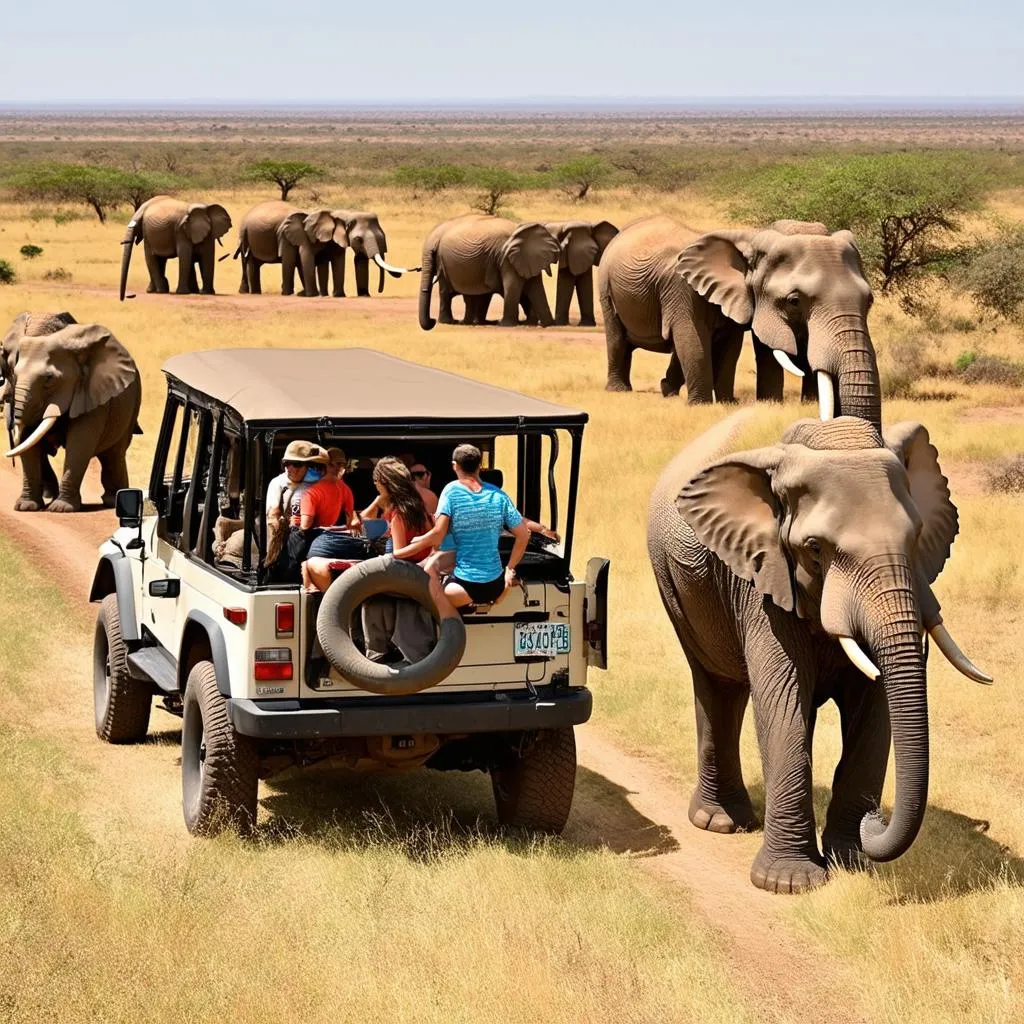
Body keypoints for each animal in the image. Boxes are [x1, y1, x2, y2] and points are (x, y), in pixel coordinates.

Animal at [2, 311, 142, 512]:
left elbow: (80, 441)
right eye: (13, 373)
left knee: (114, 454)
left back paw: (112, 501)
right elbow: (28, 441)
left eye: (49, 379)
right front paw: (25, 507)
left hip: (132, 406)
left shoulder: (91, 392)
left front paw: (61, 508)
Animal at [235, 199, 415, 296]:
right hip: (246, 236)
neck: (339, 214)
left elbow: (338, 260)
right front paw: (312, 295)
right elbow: (302, 258)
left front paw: (338, 296)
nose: (378, 291)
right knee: (252, 263)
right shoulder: (294, 234)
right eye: (358, 239)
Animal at [417, 215, 561, 327]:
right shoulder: (506, 258)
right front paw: (506, 324)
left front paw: (542, 323)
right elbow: (512, 286)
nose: (431, 320)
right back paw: (452, 322)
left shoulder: (525, 258)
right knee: (446, 291)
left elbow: (534, 287)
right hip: (447, 262)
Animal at [598, 214, 880, 425]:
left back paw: (667, 390)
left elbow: (730, 347)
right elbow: (692, 340)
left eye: (869, 300)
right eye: (794, 301)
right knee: (617, 338)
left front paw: (731, 403)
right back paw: (620, 390)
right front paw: (702, 407)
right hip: (606, 285)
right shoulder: (681, 289)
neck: (751, 240)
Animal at [647, 411, 991, 892]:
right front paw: (789, 883)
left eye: (918, 535)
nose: (874, 819)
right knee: (717, 685)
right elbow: (783, 700)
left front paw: (852, 863)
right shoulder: (762, 579)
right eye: (814, 550)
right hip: (674, 584)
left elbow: (875, 708)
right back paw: (720, 823)